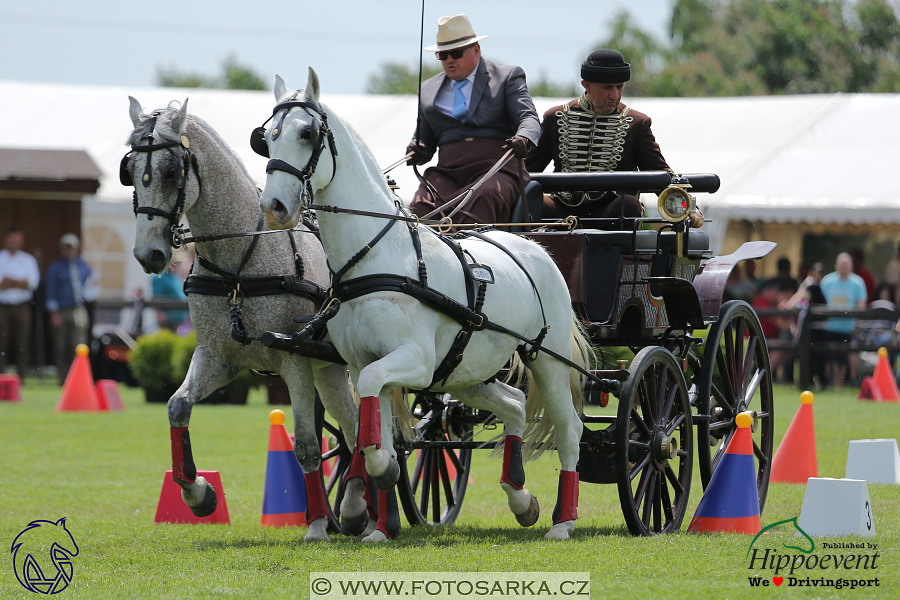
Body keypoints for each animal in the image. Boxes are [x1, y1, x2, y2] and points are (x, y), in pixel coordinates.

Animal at [124, 99, 370, 544]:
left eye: (171, 171)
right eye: (130, 169)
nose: (148, 254)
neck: (239, 265)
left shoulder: (294, 361)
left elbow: (306, 445)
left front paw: (317, 524)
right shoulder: (217, 357)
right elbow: (177, 407)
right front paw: (198, 493)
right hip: (328, 368)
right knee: (353, 427)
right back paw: (356, 505)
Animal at [258, 68, 592, 540]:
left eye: (307, 133)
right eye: (267, 137)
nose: (274, 206)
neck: (376, 258)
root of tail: (534, 247)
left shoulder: (413, 361)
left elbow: (375, 432)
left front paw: (377, 482)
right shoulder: (364, 364)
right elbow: (371, 425)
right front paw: (375, 516)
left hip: (547, 360)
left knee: (569, 428)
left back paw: (563, 521)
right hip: (464, 373)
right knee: (514, 404)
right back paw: (520, 497)